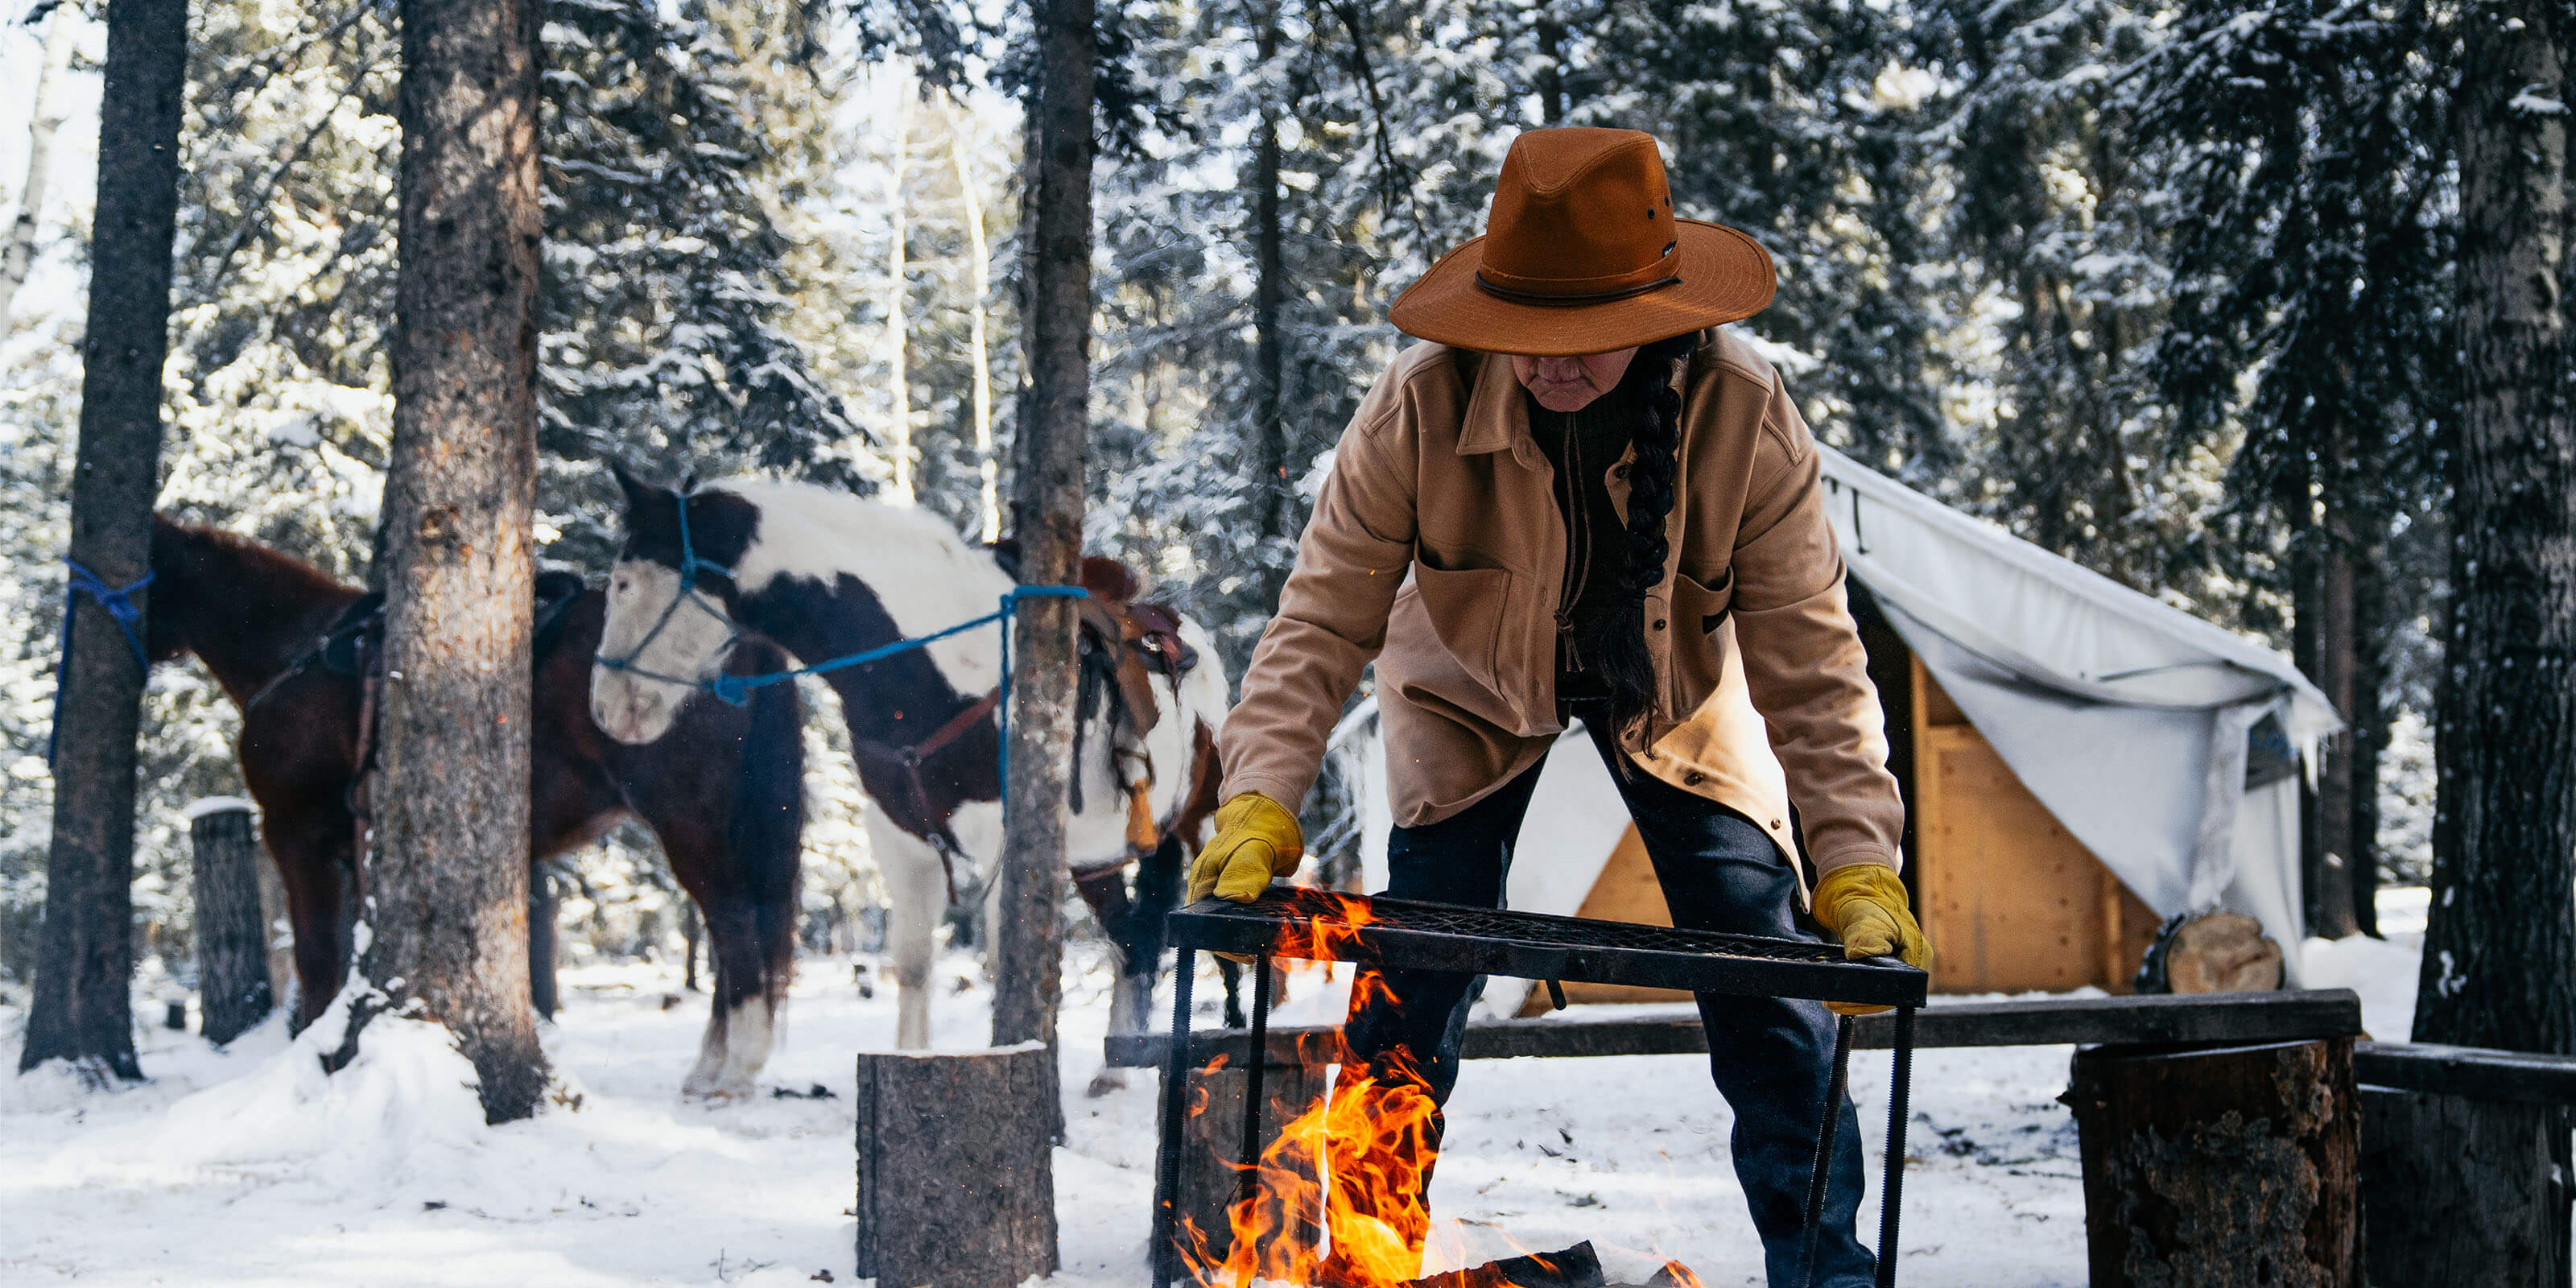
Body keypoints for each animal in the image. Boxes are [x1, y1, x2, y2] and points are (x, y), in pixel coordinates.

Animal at [146, 518, 803, 1102]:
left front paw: (319, 1051)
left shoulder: (295, 837)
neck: (297, 654)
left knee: (734, 924)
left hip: (690, 825)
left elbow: (315, 958)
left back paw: (731, 1071)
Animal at [589, 469, 1231, 1051]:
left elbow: (1002, 966)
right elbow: (915, 967)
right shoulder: (902, 841)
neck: (928, 671)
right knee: (1132, 944)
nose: (605, 707)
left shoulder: (1003, 844)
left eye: (622, 583)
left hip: (1202, 825)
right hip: (1096, 860)